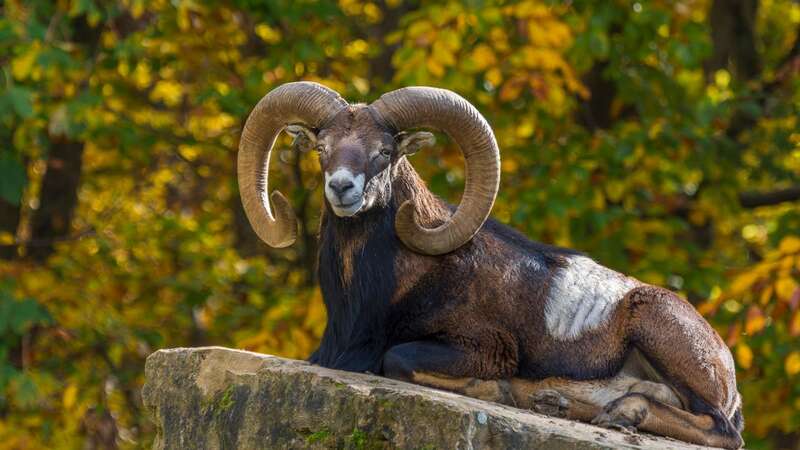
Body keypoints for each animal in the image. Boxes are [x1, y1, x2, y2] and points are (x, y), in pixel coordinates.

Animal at [236, 82, 744, 448]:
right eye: (322, 148)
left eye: (384, 151)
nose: (342, 187)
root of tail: (726, 366)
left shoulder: (481, 347)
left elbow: (396, 358)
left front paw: (497, 391)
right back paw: (560, 404)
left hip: (661, 334)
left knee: (722, 430)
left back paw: (621, 411)